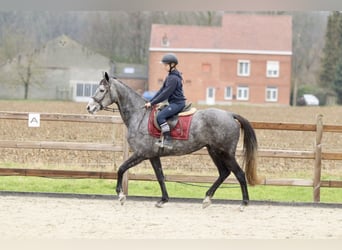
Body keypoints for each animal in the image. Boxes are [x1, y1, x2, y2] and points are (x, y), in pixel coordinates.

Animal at [87, 72, 258, 209]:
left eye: (101, 90)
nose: (89, 108)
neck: (139, 115)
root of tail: (230, 115)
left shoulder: (141, 154)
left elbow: (121, 169)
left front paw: (121, 195)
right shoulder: (153, 156)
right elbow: (160, 176)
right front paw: (163, 200)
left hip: (225, 153)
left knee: (239, 174)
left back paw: (244, 203)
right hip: (214, 151)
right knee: (224, 173)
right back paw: (207, 198)